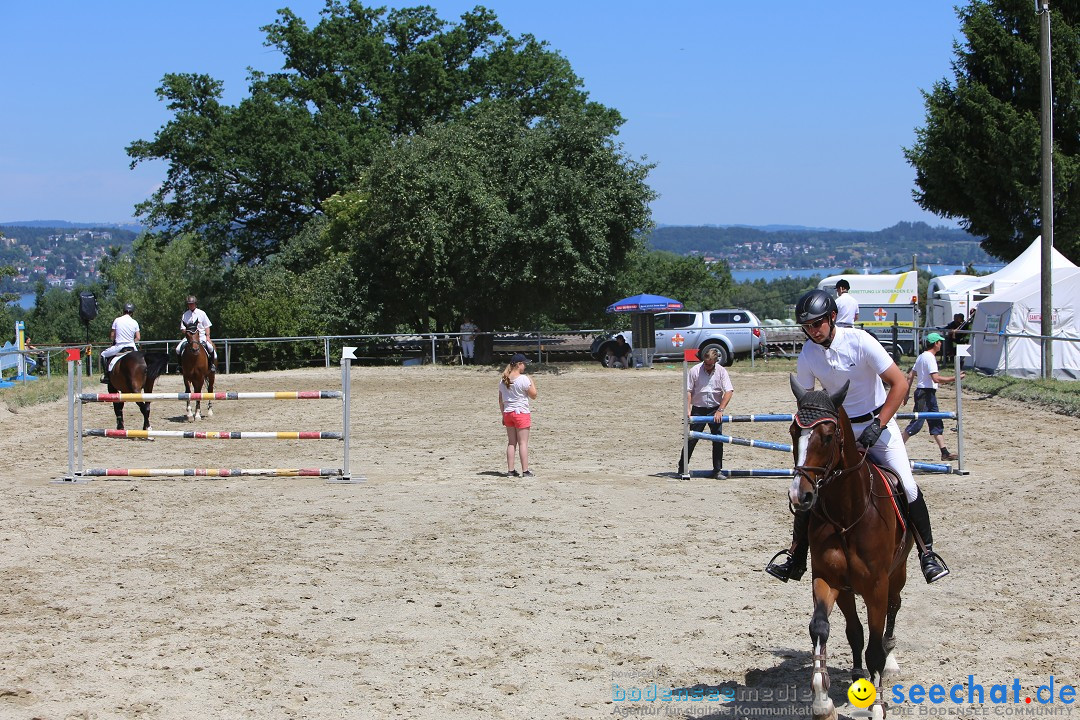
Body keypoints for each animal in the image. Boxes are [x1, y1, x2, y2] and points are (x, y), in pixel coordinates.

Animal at [786, 377, 911, 720]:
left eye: (828, 437)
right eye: (792, 432)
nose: (799, 496)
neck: (847, 516)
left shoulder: (877, 587)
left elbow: (875, 648)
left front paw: (879, 707)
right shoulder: (829, 580)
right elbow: (821, 628)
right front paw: (822, 703)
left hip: (898, 573)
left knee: (893, 610)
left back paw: (890, 661)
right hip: (847, 590)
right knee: (855, 631)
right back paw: (857, 677)